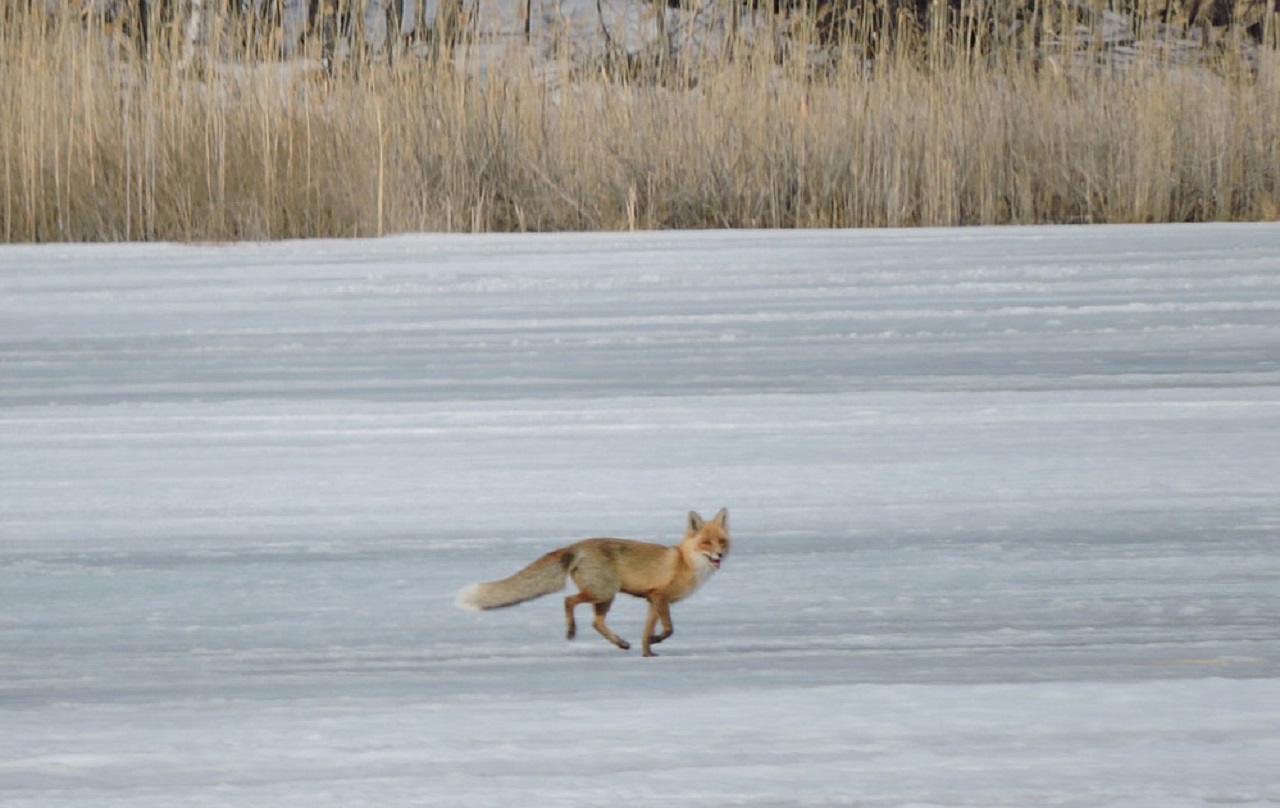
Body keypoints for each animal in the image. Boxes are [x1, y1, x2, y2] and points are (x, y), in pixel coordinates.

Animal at [455, 512, 727, 655]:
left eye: (722, 541)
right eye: (706, 543)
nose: (720, 555)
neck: (684, 562)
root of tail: (576, 545)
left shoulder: (652, 601)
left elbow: (646, 632)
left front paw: (648, 651)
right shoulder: (660, 598)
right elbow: (669, 629)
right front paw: (655, 642)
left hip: (605, 597)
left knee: (596, 622)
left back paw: (620, 643)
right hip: (604, 592)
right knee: (569, 601)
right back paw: (571, 631)